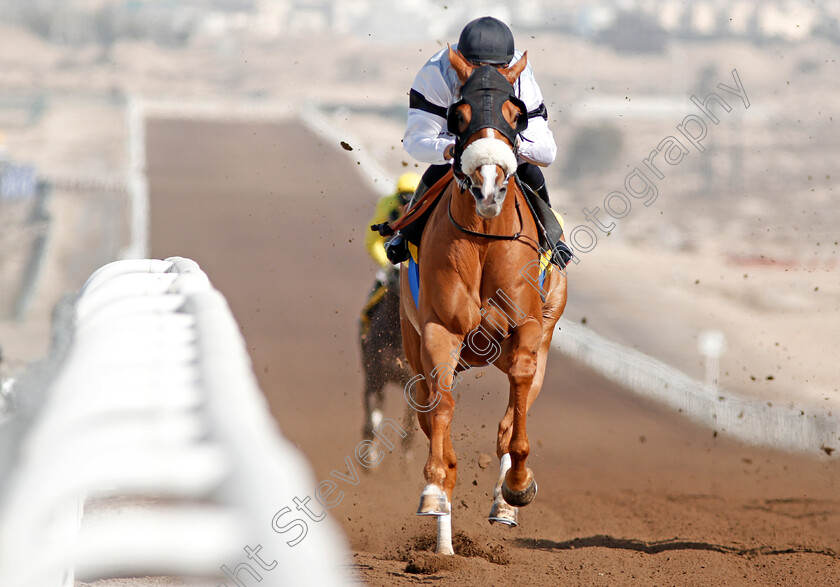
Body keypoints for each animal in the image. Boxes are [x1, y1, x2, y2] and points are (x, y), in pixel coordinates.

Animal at [398, 47, 568, 556]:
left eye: (515, 114)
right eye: (459, 115)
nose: (489, 184)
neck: (486, 238)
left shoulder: (528, 329)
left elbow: (516, 415)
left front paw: (517, 488)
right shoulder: (438, 332)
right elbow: (442, 409)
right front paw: (435, 490)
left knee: (513, 415)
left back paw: (505, 502)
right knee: (430, 411)